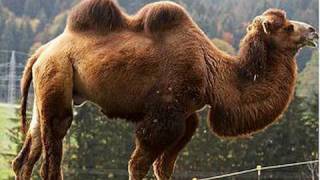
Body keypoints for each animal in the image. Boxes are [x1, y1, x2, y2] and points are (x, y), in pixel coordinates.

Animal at [11, 0, 318, 179]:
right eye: (287, 27)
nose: (313, 31)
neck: (212, 75)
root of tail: (39, 53)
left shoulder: (186, 118)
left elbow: (164, 167)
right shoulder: (165, 114)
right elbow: (138, 165)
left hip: (47, 88)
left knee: (25, 157)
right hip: (58, 74)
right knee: (52, 152)